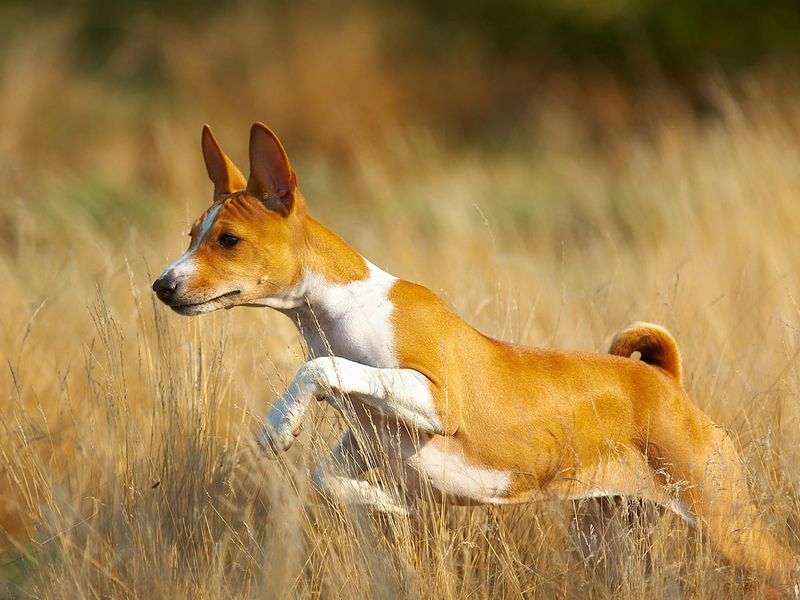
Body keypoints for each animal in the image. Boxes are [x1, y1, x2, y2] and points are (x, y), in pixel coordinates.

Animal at [153, 123, 796, 596]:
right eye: (190, 235)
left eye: (228, 240)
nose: (162, 285)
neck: (339, 313)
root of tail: (666, 381)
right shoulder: (366, 443)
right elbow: (330, 478)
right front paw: (392, 504)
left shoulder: (437, 399)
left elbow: (322, 370)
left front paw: (280, 422)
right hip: (608, 538)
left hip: (726, 522)